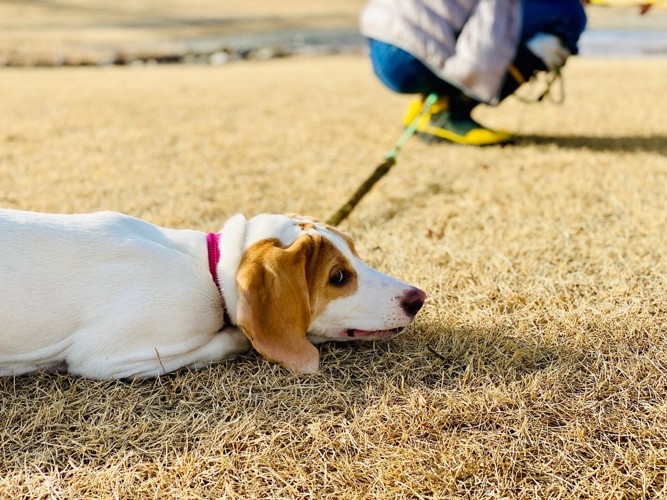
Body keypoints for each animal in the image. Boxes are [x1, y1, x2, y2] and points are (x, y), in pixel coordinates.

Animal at [0, 209, 426, 376]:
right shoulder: (105, 358)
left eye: (356, 251)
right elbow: (231, 338)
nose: (417, 298)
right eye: (337, 277)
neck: (209, 271)